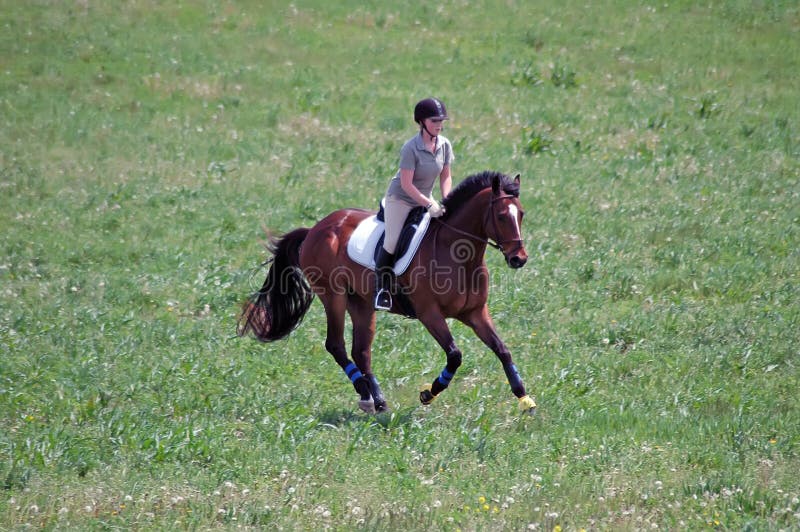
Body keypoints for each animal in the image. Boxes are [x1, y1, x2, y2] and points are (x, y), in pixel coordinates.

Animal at [238, 170, 536, 414]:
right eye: (501, 216)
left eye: (522, 214)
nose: (518, 259)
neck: (457, 254)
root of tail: (316, 228)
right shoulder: (430, 314)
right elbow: (455, 355)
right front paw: (429, 393)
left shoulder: (475, 313)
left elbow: (502, 349)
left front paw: (524, 398)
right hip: (333, 296)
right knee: (336, 345)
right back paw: (364, 393)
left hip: (361, 303)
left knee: (361, 351)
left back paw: (377, 399)